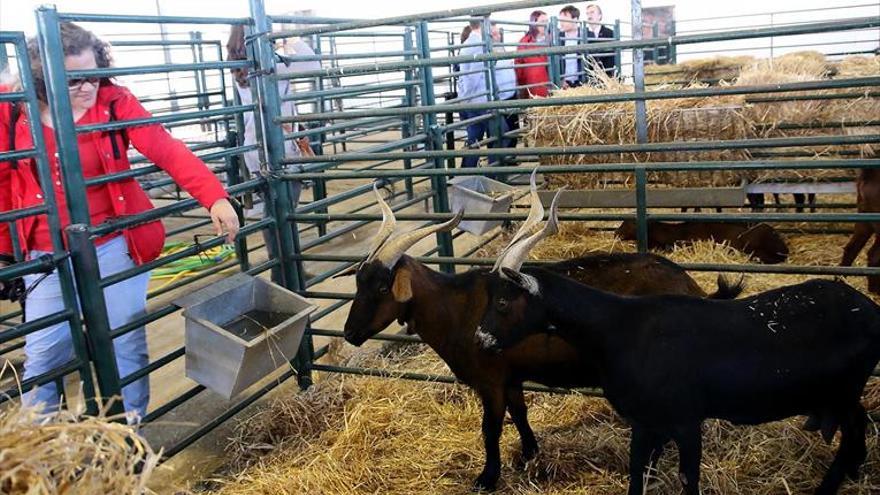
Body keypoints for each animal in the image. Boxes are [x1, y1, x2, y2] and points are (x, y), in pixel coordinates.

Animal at [340, 176, 740, 490]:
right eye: (358, 282)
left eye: (381, 288)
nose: (349, 333)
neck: (457, 306)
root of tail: (693, 287)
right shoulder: (511, 377)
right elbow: (520, 414)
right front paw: (529, 453)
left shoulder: (490, 381)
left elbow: (491, 429)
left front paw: (487, 478)